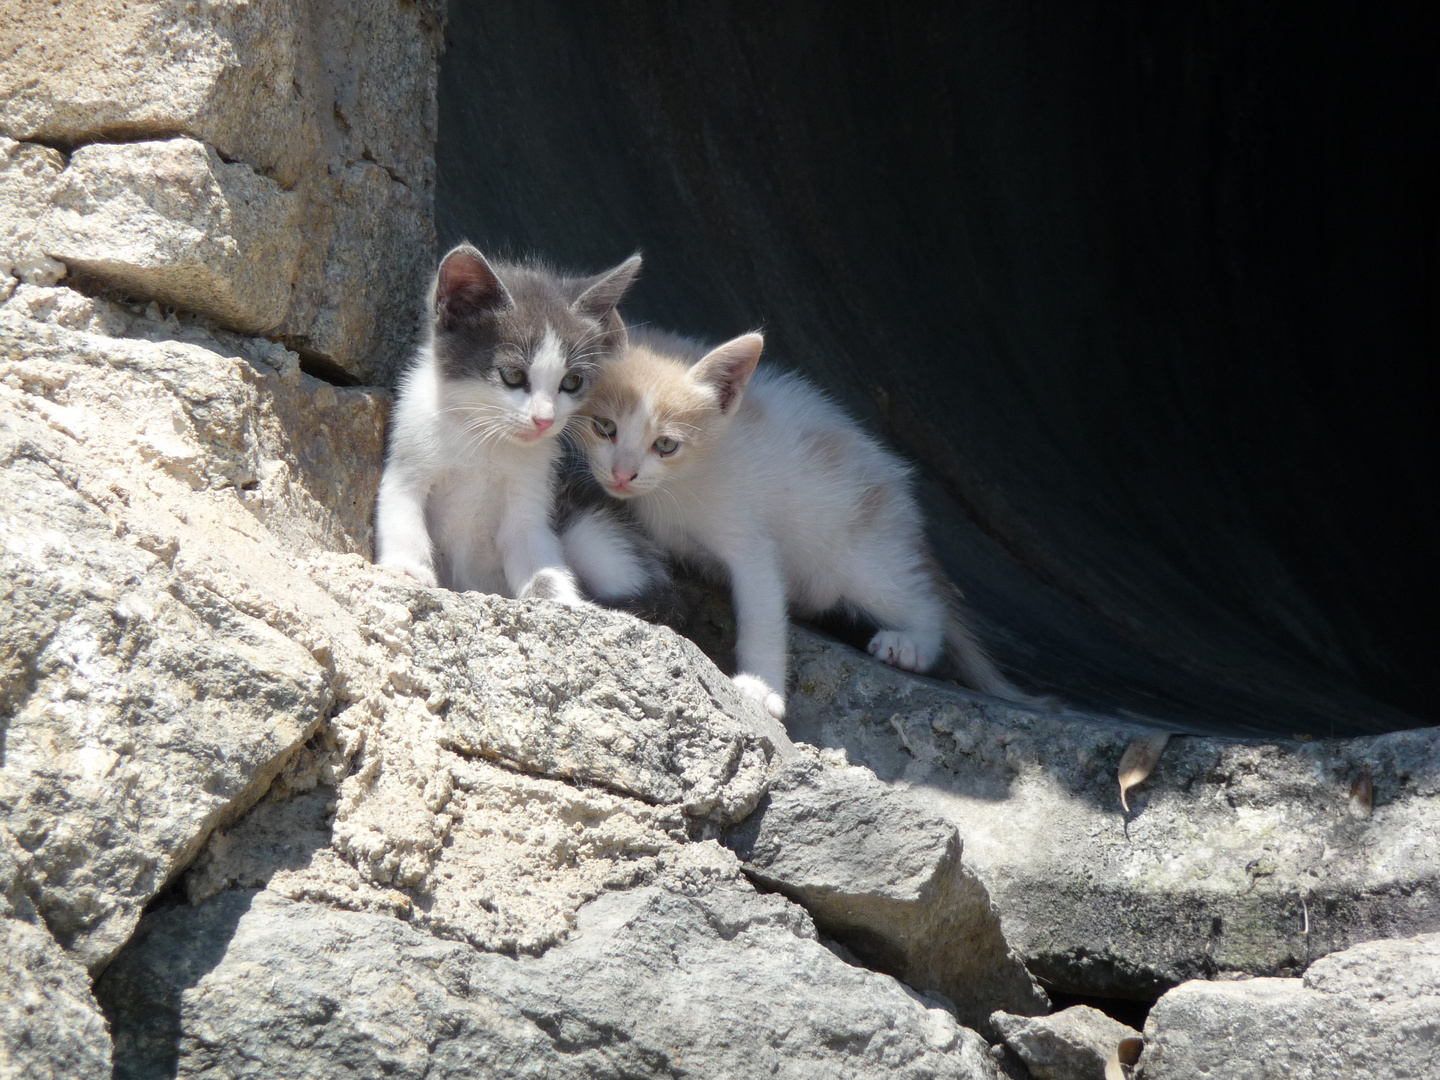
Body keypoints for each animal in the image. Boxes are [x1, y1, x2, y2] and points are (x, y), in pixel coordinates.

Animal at [377, 240, 659, 604]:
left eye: (572, 382)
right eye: (512, 375)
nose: (544, 419)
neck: (484, 438)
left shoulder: (531, 499)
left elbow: (538, 559)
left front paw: (558, 600)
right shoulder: (409, 456)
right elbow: (402, 514)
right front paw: (408, 568)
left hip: (590, 532)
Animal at [576, 329, 1036, 720]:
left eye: (666, 445)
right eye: (604, 427)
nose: (622, 475)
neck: (678, 485)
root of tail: (904, 519)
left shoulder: (752, 544)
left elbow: (762, 616)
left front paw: (761, 689)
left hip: (862, 558)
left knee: (925, 603)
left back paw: (910, 645)